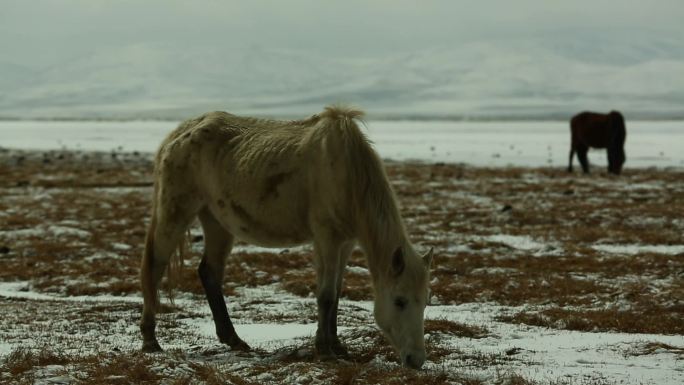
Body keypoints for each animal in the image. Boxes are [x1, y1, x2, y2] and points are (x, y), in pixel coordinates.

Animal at [140, 105, 432, 368]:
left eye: (425, 302)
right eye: (400, 301)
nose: (416, 360)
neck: (346, 172)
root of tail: (177, 134)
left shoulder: (346, 242)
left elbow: (336, 293)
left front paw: (337, 345)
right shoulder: (327, 237)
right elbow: (326, 294)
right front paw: (324, 350)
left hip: (216, 222)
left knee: (209, 272)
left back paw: (234, 340)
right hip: (176, 211)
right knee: (155, 266)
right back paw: (150, 341)